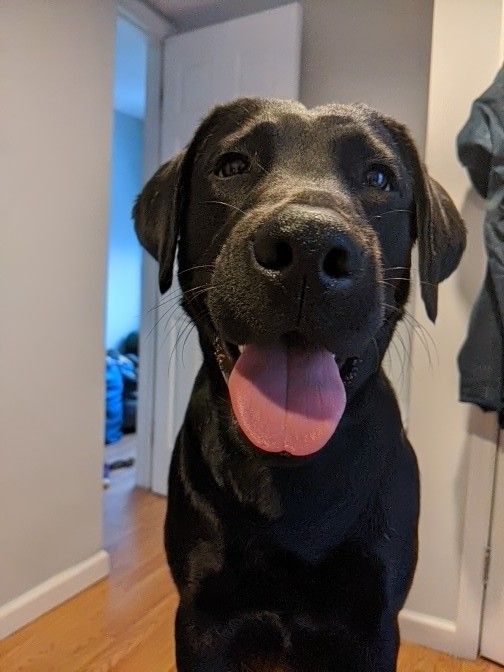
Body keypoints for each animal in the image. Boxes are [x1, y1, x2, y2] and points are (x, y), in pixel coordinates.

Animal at [134, 100, 464, 672]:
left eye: (379, 177)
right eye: (232, 166)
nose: (308, 246)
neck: (290, 474)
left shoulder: (375, 625)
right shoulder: (201, 618)